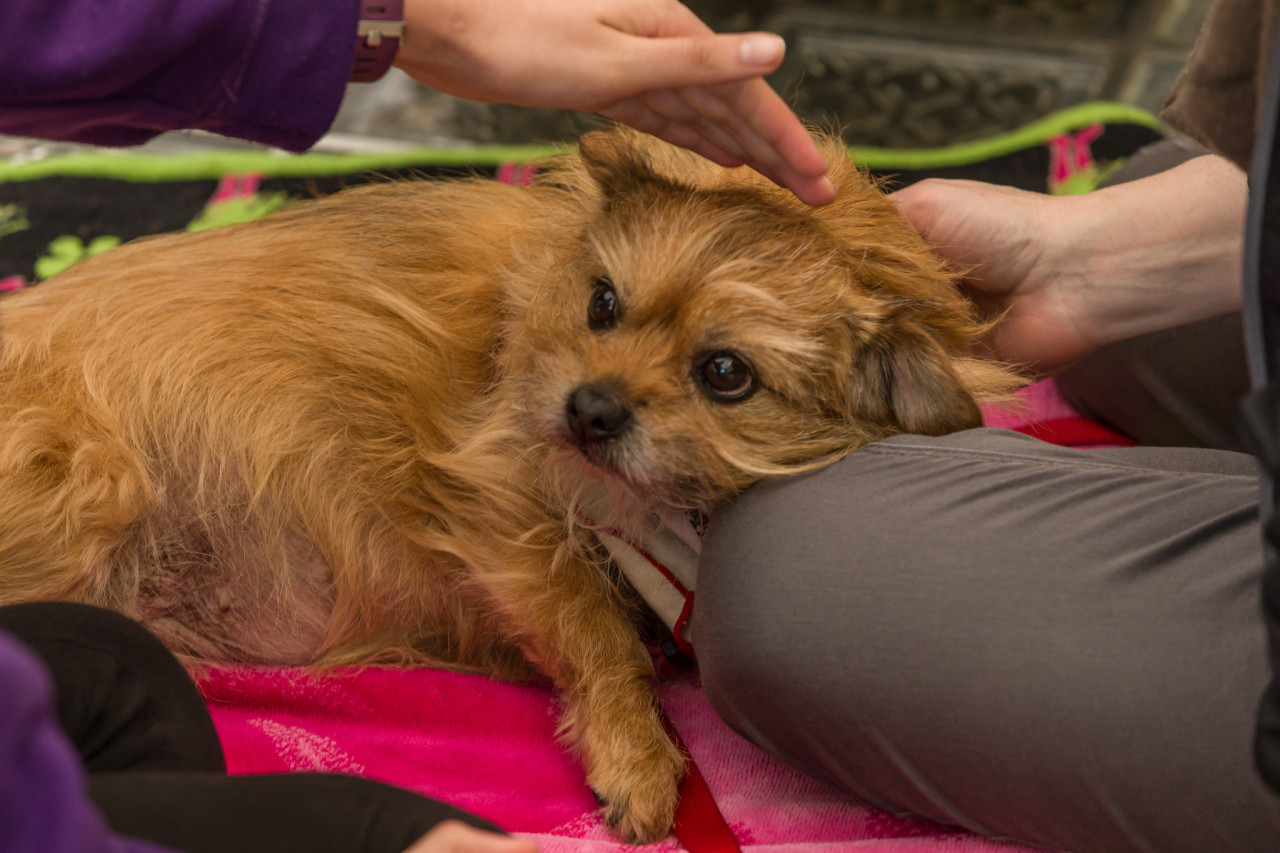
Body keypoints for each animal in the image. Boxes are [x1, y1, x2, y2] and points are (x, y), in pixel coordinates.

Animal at [0, 129, 1018, 840]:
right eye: (603, 303)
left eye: (726, 373)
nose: (590, 408)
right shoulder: (493, 496)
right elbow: (595, 627)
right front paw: (636, 747)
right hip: (85, 478)